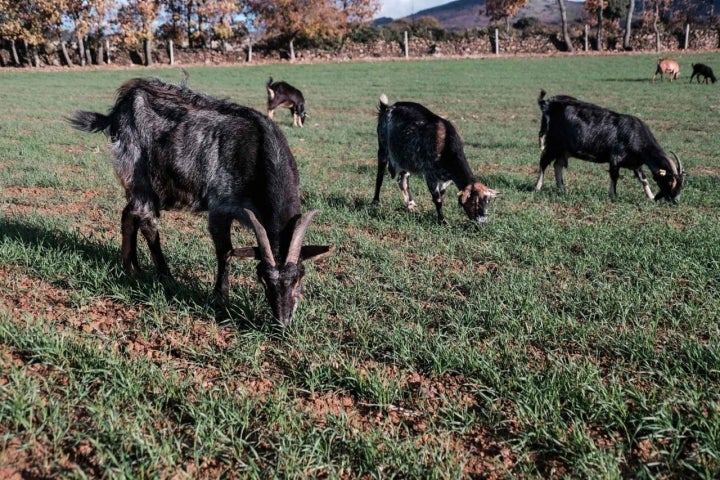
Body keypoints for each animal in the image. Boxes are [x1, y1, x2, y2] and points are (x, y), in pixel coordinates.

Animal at [69, 78, 334, 326]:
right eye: (262, 277)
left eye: (299, 275)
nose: (283, 320)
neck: (258, 151)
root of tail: (121, 105)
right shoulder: (220, 207)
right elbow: (225, 251)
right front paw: (221, 298)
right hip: (137, 171)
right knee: (146, 221)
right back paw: (166, 277)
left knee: (128, 214)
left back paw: (131, 267)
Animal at [374, 94, 498, 225]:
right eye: (475, 202)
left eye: (487, 202)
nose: (482, 223)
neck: (446, 146)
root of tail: (386, 109)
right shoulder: (430, 176)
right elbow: (437, 199)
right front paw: (442, 221)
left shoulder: (445, 180)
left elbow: (441, 195)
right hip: (383, 149)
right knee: (380, 177)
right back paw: (375, 202)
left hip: (406, 159)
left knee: (402, 181)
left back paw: (411, 204)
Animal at [536, 89, 688, 202]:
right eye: (670, 181)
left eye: (682, 184)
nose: (676, 200)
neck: (635, 135)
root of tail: (547, 103)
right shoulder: (615, 157)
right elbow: (615, 176)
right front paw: (613, 196)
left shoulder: (635, 163)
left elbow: (643, 178)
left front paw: (650, 197)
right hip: (554, 143)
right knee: (543, 162)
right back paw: (537, 187)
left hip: (564, 150)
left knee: (557, 165)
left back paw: (562, 189)